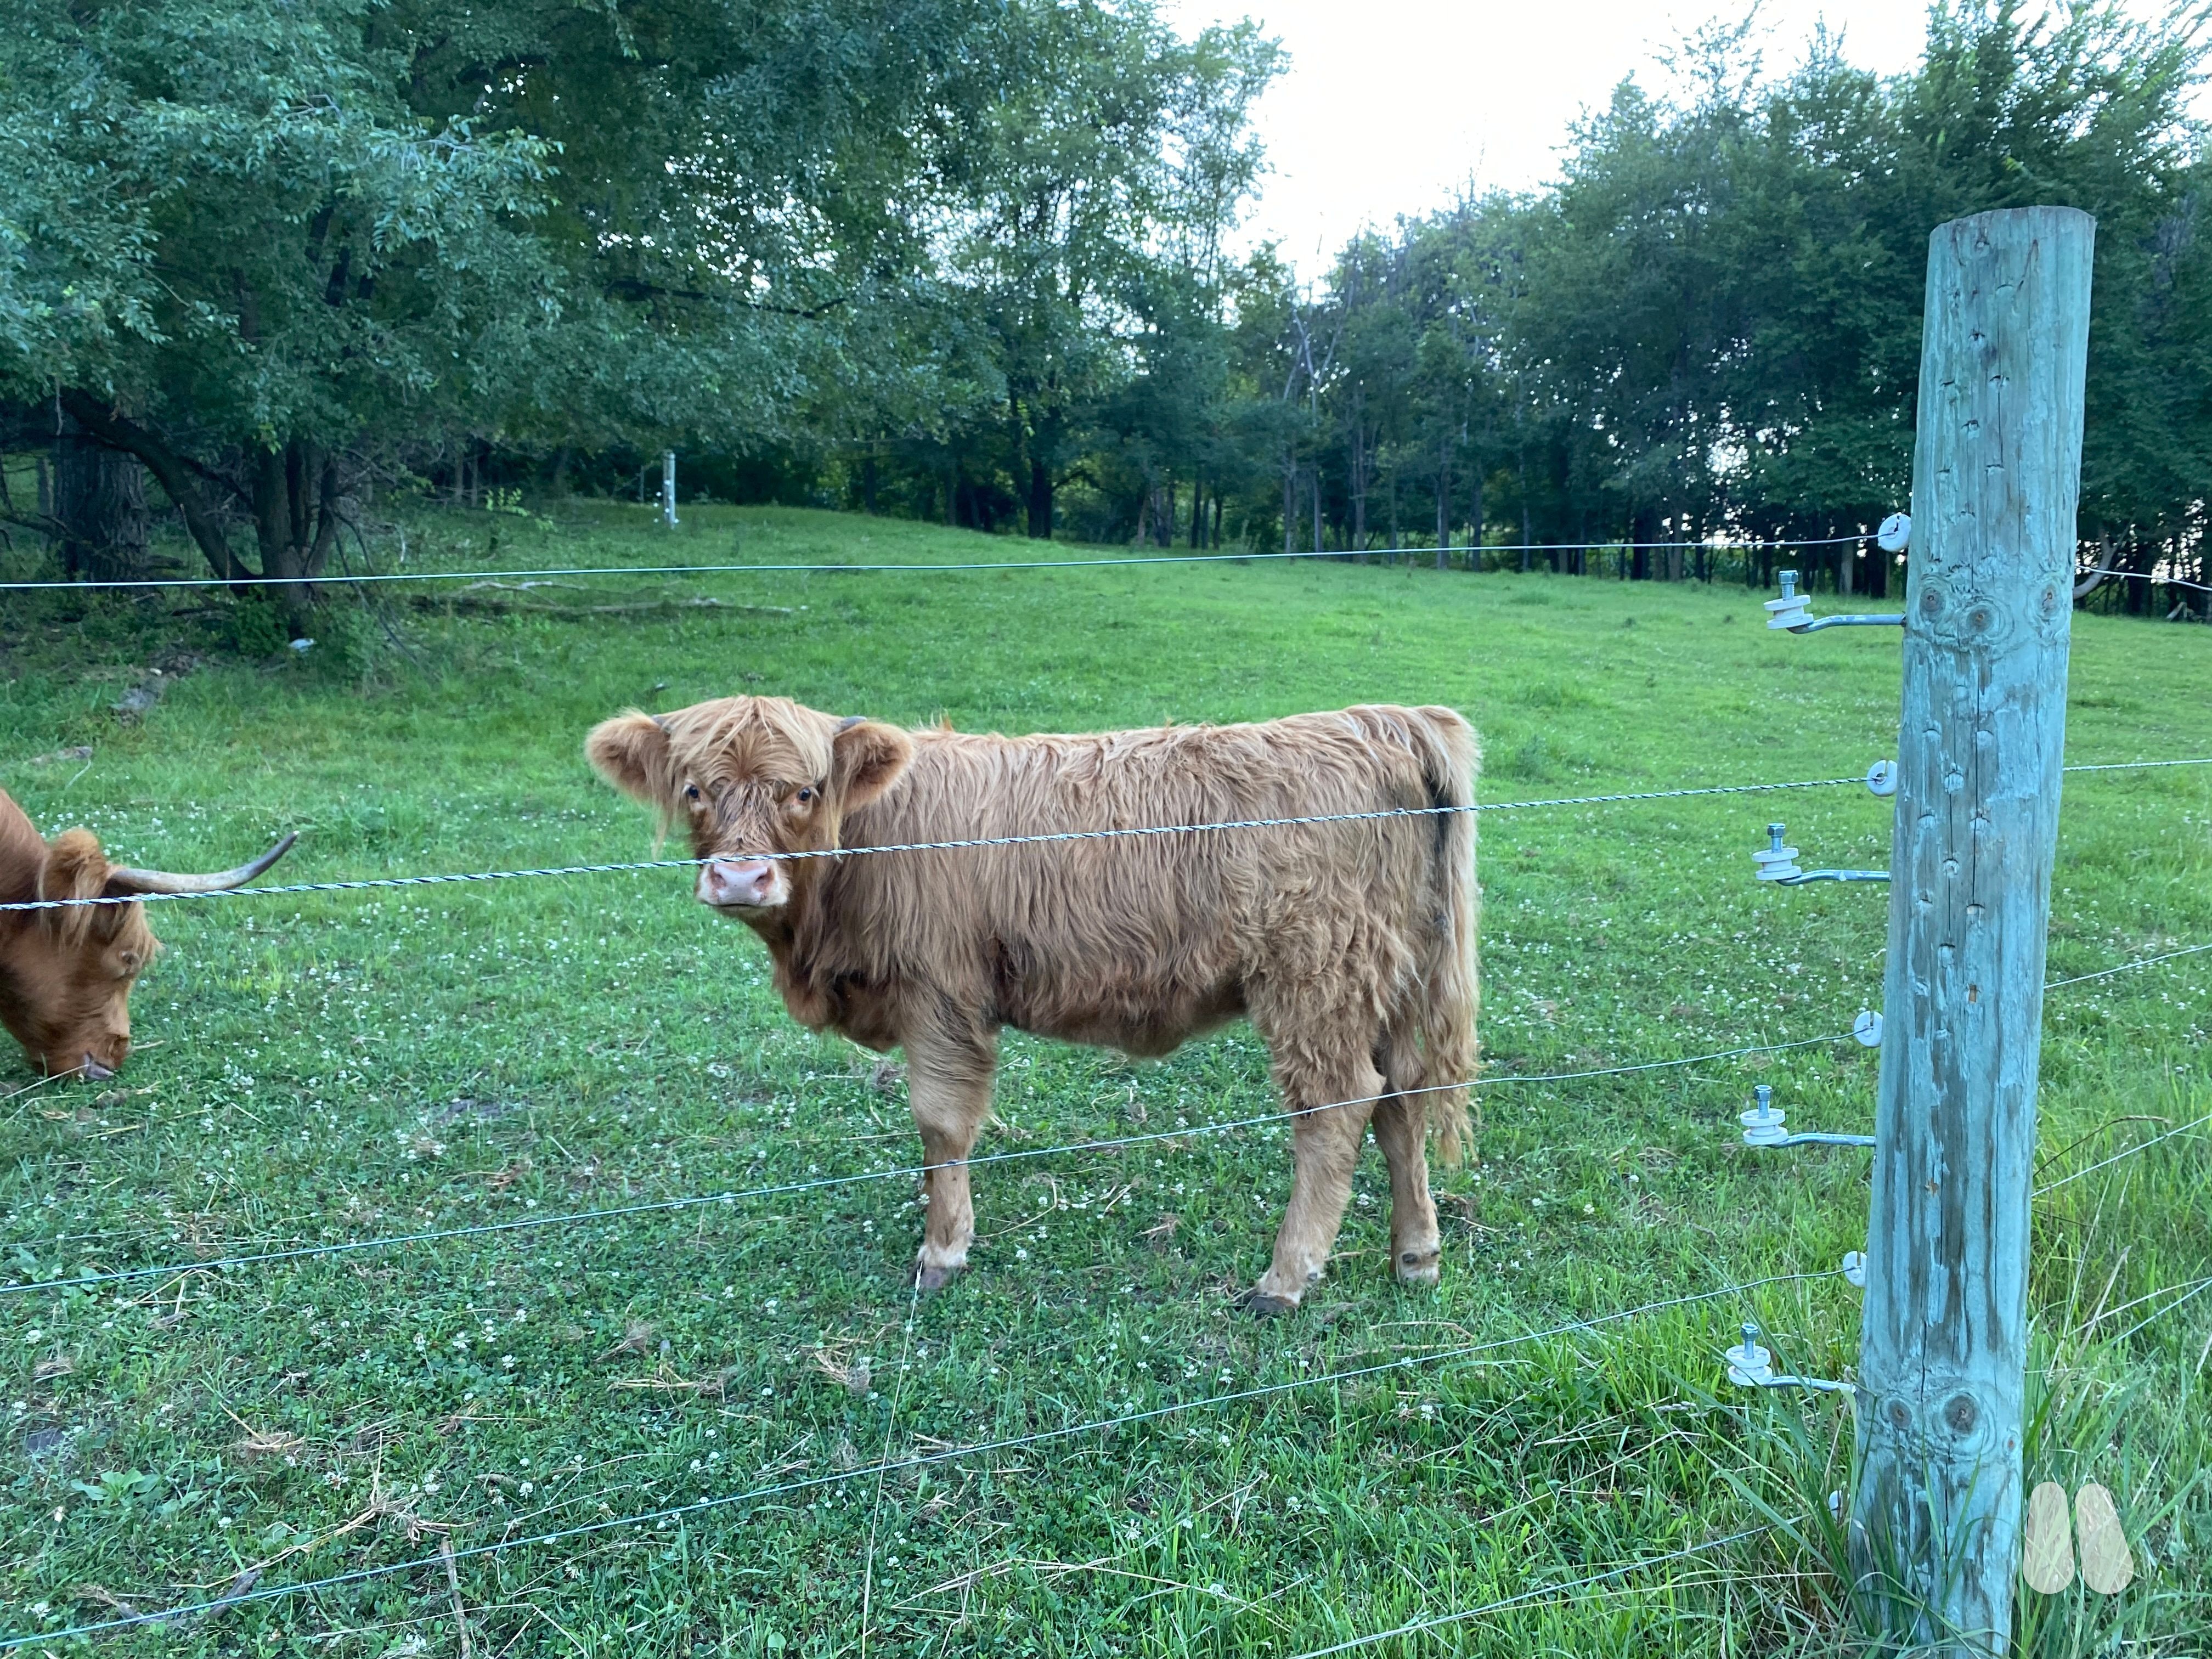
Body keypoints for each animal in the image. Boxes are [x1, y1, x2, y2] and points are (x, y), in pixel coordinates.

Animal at [587, 697, 1478, 1315]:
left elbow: (941, 1124)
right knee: (1402, 1102)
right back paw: (1416, 1255)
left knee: (1337, 1107)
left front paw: (943, 1252)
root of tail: (1377, 721)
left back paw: (1286, 1278)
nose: (741, 878)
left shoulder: (939, 994)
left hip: (1316, 980)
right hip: (1387, 979)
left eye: (803, 791)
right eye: (694, 789)